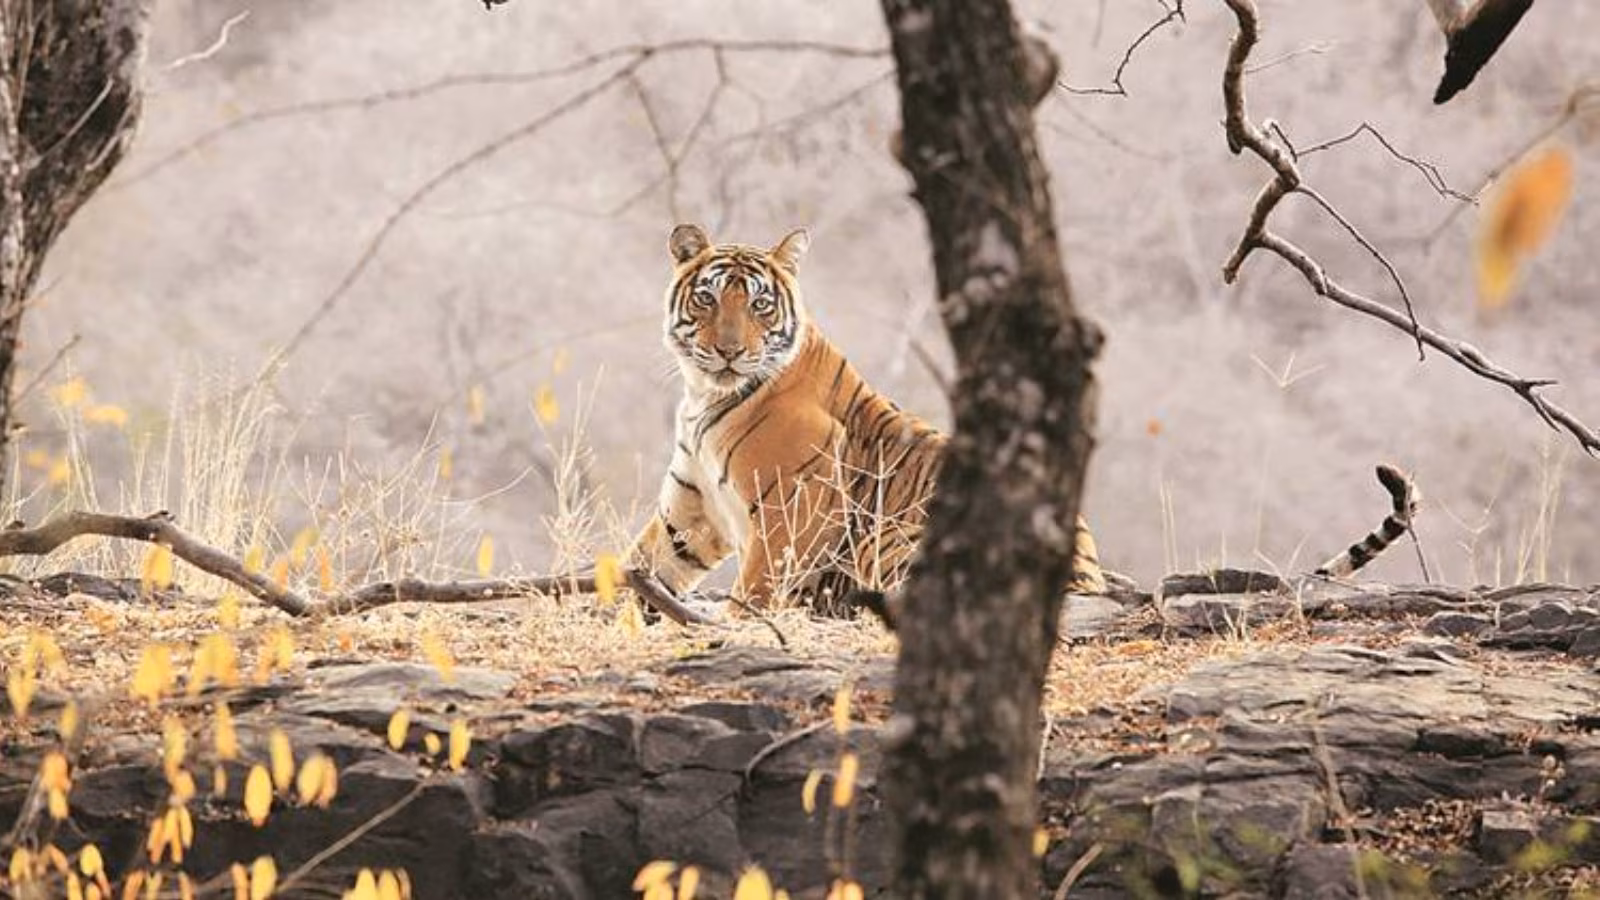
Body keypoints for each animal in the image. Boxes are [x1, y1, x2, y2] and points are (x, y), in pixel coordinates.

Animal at [625, 223, 1108, 615]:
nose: (729, 351)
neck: (704, 395)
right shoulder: (693, 510)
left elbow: (756, 589)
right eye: (707, 298)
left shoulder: (795, 509)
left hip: (892, 537)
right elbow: (642, 562)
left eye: (760, 304)